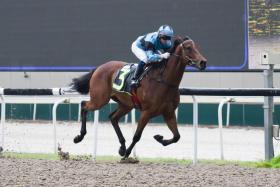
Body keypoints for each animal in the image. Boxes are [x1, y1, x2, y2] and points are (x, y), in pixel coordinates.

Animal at [70, 37, 206, 159]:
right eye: (188, 48)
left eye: (196, 47)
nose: (203, 62)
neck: (164, 82)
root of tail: (99, 68)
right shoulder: (146, 112)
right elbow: (137, 136)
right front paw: (127, 154)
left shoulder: (169, 112)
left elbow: (177, 136)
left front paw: (159, 138)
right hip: (100, 100)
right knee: (84, 105)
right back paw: (79, 137)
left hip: (126, 104)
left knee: (113, 118)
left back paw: (122, 147)